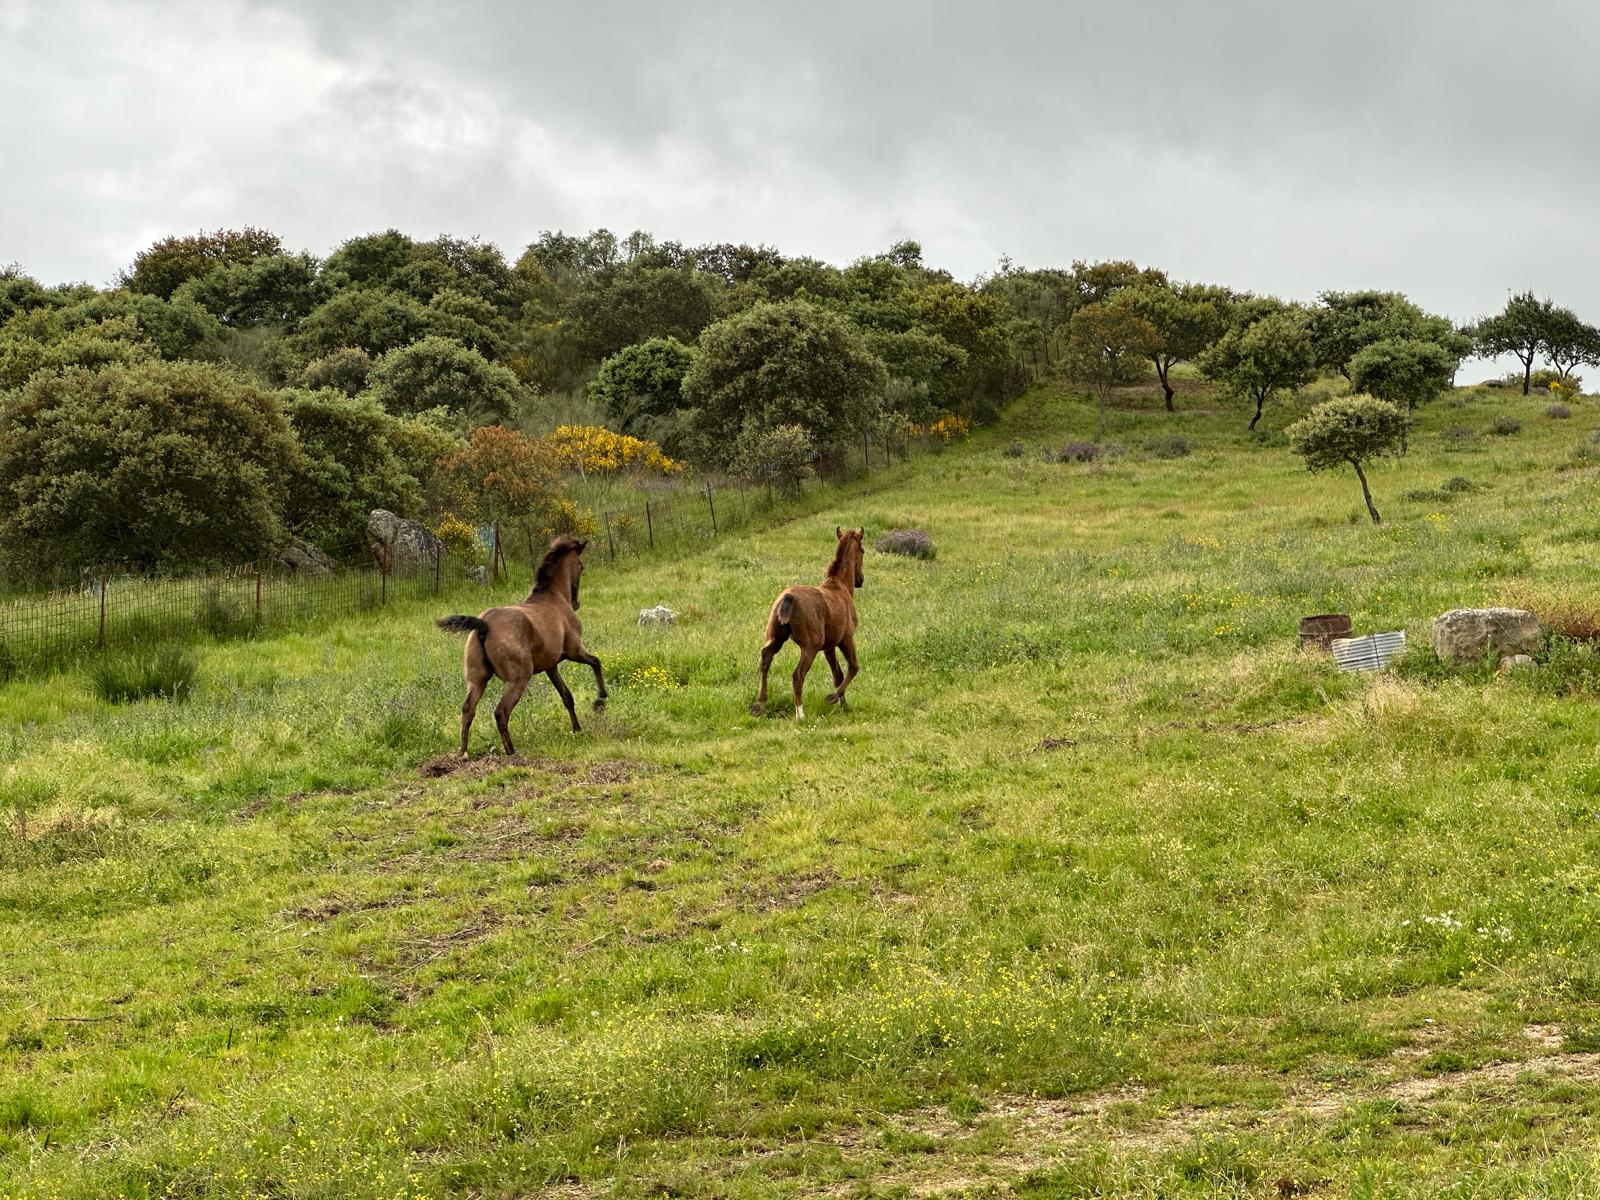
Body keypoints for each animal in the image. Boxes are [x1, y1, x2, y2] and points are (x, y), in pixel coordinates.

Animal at [436, 535, 607, 754]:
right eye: (581, 566)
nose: (576, 603)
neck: (554, 598)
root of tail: (484, 624)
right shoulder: (574, 651)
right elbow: (596, 662)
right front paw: (600, 701)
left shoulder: (551, 666)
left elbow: (567, 696)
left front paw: (577, 729)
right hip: (519, 678)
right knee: (501, 711)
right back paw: (511, 752)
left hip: (477, 680)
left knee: (468, 710)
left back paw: (463, 753)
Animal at [752, 527, 864, 721]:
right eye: (863, 551)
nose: (860, 580)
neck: (840, 587)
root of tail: (788, 598)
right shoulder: (846, 638)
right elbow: (853, 667)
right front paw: (832, 698)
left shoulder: (829, 646)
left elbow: (838, 675)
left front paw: (844, 705)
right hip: (811, 646)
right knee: (798, 675)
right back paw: (800, 714)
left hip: (776, 637)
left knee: (765, 658)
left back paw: (759, 703)